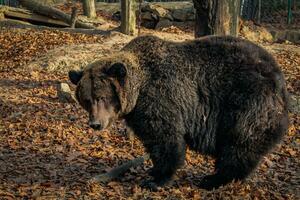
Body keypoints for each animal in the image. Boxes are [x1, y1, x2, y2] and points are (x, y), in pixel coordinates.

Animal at [68, 35, 288, 190]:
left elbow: (166, 138)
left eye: (102, 97)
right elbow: (152, 141)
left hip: (246, 102)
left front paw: (157, 180)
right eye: (86, 99)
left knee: (239, 143)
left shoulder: (160, 98)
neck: (137, 91)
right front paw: (153, 170)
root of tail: (278, 76)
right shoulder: (139, 114)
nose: (95, 124)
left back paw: (213, 179)